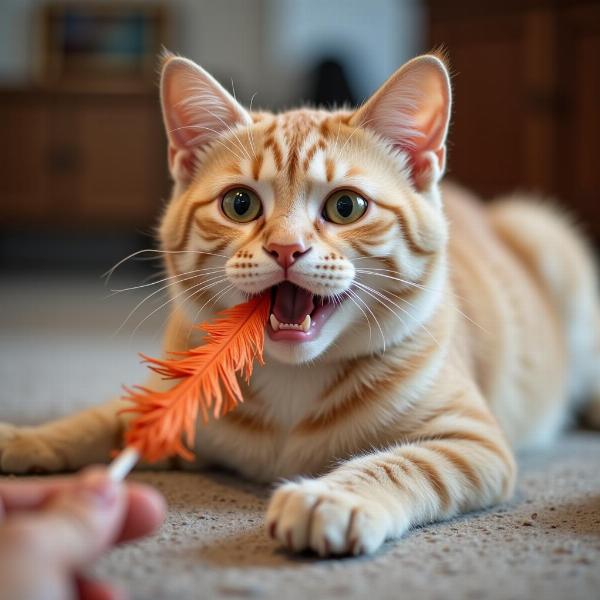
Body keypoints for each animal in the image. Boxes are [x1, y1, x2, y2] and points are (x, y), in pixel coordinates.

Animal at [1, 54, 600, 556]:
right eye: (240, 204)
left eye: (346, 206)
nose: (287, 248)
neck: (293, 380)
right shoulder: (172, 403)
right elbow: (97, 421)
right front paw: (26, 439)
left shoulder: (473, 443)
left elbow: (404, 463)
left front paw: (331, 499)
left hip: (543, 235)